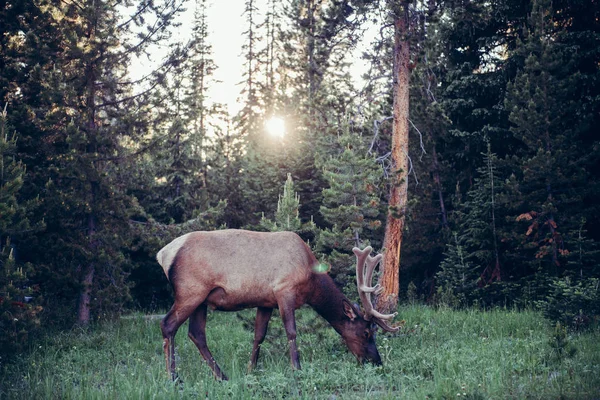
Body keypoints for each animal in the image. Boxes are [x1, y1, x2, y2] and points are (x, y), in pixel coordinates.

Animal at [157, 230, 398, 380]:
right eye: (366, 332)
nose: (376, 361)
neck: (311, 278)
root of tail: (163, 254)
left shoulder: (266, 301)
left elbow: (259, 335)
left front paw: (251, 370)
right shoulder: (284, 290)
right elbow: (291, 331)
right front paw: (297, 368)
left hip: (201, 300)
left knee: (196, 334)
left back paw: (222, 376)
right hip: (190, 291)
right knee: (168, 325)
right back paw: (174, 378)